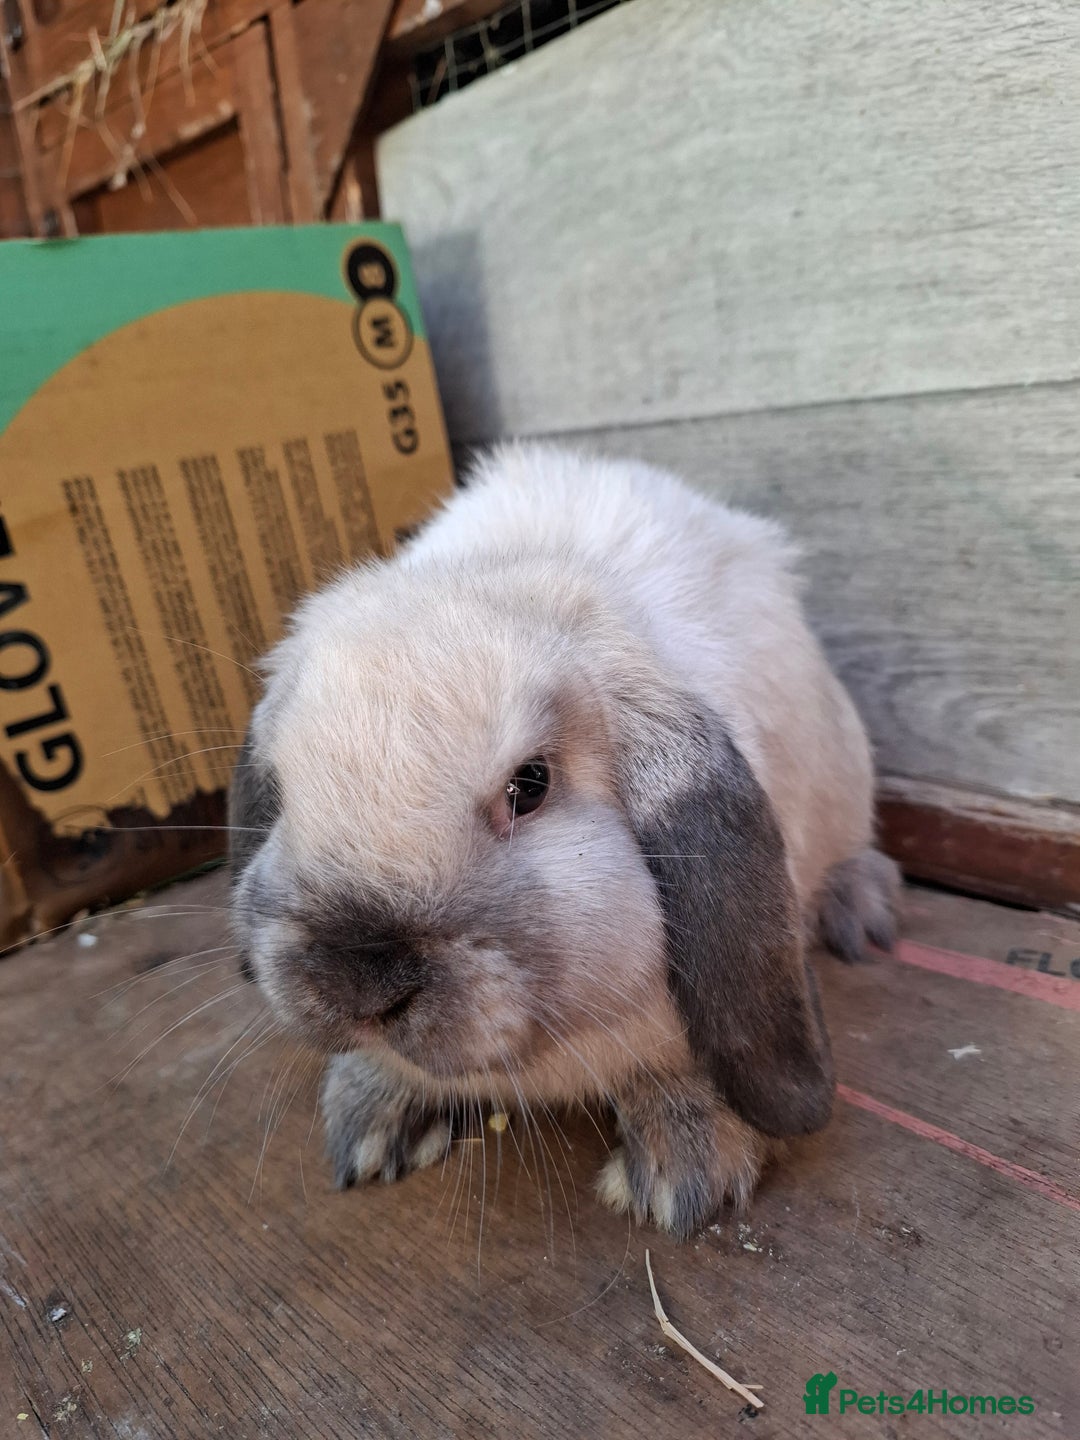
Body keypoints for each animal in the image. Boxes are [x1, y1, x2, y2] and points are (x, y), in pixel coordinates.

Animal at [228, 443, 900, 1238]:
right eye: (283, 790)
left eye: (531, 785)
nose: (357, 981)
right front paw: (369, 1118)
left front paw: (686, 1171)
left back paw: (860, 912)